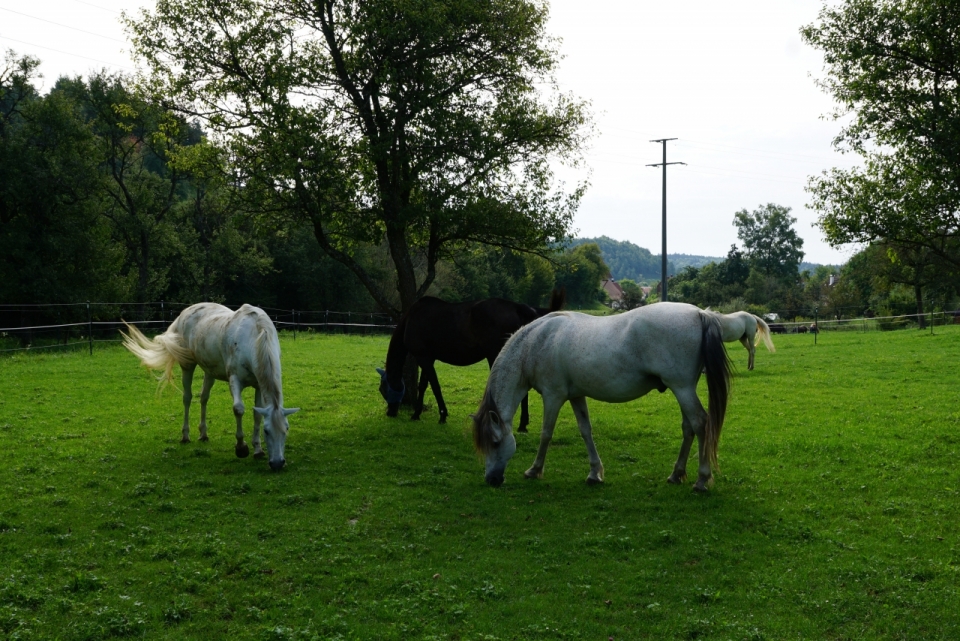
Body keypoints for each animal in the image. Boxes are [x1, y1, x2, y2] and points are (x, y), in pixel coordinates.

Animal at [122, 302, 298, 468]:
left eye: (286, 429)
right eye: (267, 431)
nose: (277, 463)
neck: (255, 335)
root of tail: (183, 314)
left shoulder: (259, 386)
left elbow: (257, 414)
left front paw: (258, 450)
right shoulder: (235, 380)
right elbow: (238, 409)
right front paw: (241, 448)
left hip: (209, 372)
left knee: (204, 398)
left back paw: (203, 434)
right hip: (187, 365)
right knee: (187, 398)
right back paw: (185, 436)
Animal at [378, 288, 568, 430]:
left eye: (382, 389)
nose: (390, 412)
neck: (412, 317)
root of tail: (516, 307)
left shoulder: (423, 357)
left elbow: (434, 385)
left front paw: (441, 414)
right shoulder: (428, 358)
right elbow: (424, 385)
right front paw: (417, 413)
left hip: (496, 355)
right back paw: (522, 424)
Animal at [474, 302, 736, 492]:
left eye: (495, 443)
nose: (491, 479)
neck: (537, 342)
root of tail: (699, 313)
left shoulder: (553, 396)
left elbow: (546, 433)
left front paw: (534, 470)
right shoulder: (576, 396)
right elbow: (585, 431)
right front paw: (594, 474)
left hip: (682, 388)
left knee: (700, 423)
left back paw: (701, 480)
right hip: (683, 388)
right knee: (689, 427)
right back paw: (676, 474)